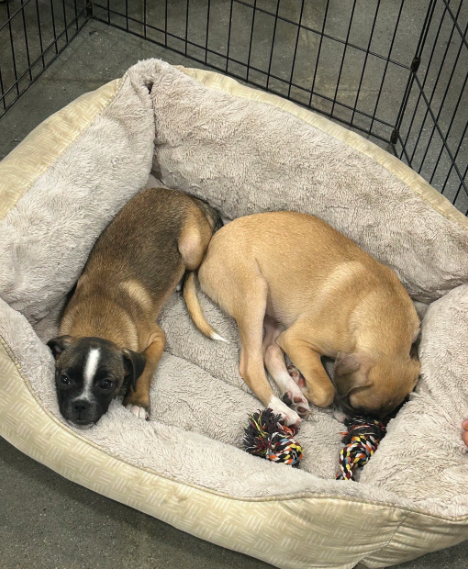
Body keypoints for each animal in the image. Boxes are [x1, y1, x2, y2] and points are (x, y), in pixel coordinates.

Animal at [48, 187, 221, 426]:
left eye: (107, 384)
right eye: (64, 378)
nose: (80, 406)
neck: (98, 321)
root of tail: (185, 196)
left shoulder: (157, 337)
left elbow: (146, 368)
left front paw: (137, 403)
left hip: (191, 250)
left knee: (193, 268)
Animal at [184, 211, 420, 424]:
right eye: (354, 404)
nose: (347, 421)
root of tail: (209, 249)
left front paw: (300, 386)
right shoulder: (295, 340)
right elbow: (327, 389)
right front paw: (307, 388)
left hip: (277, 315)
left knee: (269, 352)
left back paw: (293, 393)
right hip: (255, 293)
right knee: (251, 366)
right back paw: (284, 408)